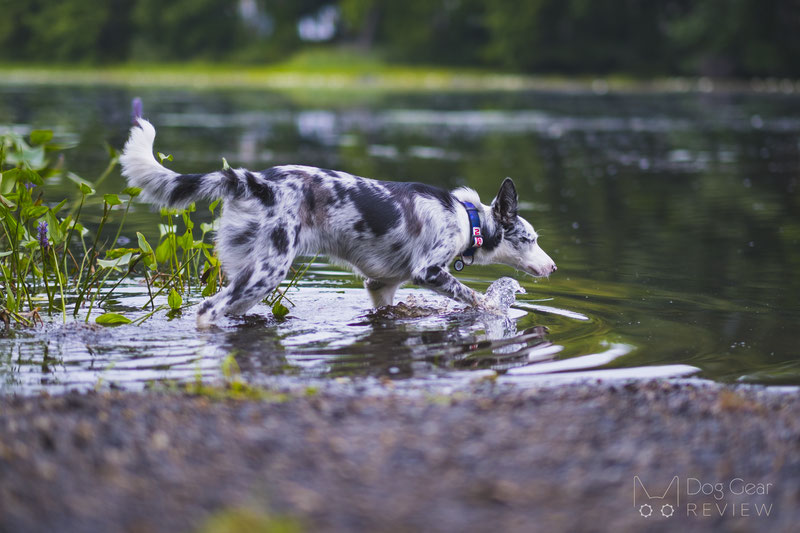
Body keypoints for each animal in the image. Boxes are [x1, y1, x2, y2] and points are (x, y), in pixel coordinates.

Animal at [120, 118, 556, 324]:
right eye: (530, 239)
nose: (552, 267)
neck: (466, 218)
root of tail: (257, 181)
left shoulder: (381, 286)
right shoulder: (429, 272)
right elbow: (478, 299)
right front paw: (495, 309)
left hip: (251, 280)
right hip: (266, 273)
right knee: (207, 311)